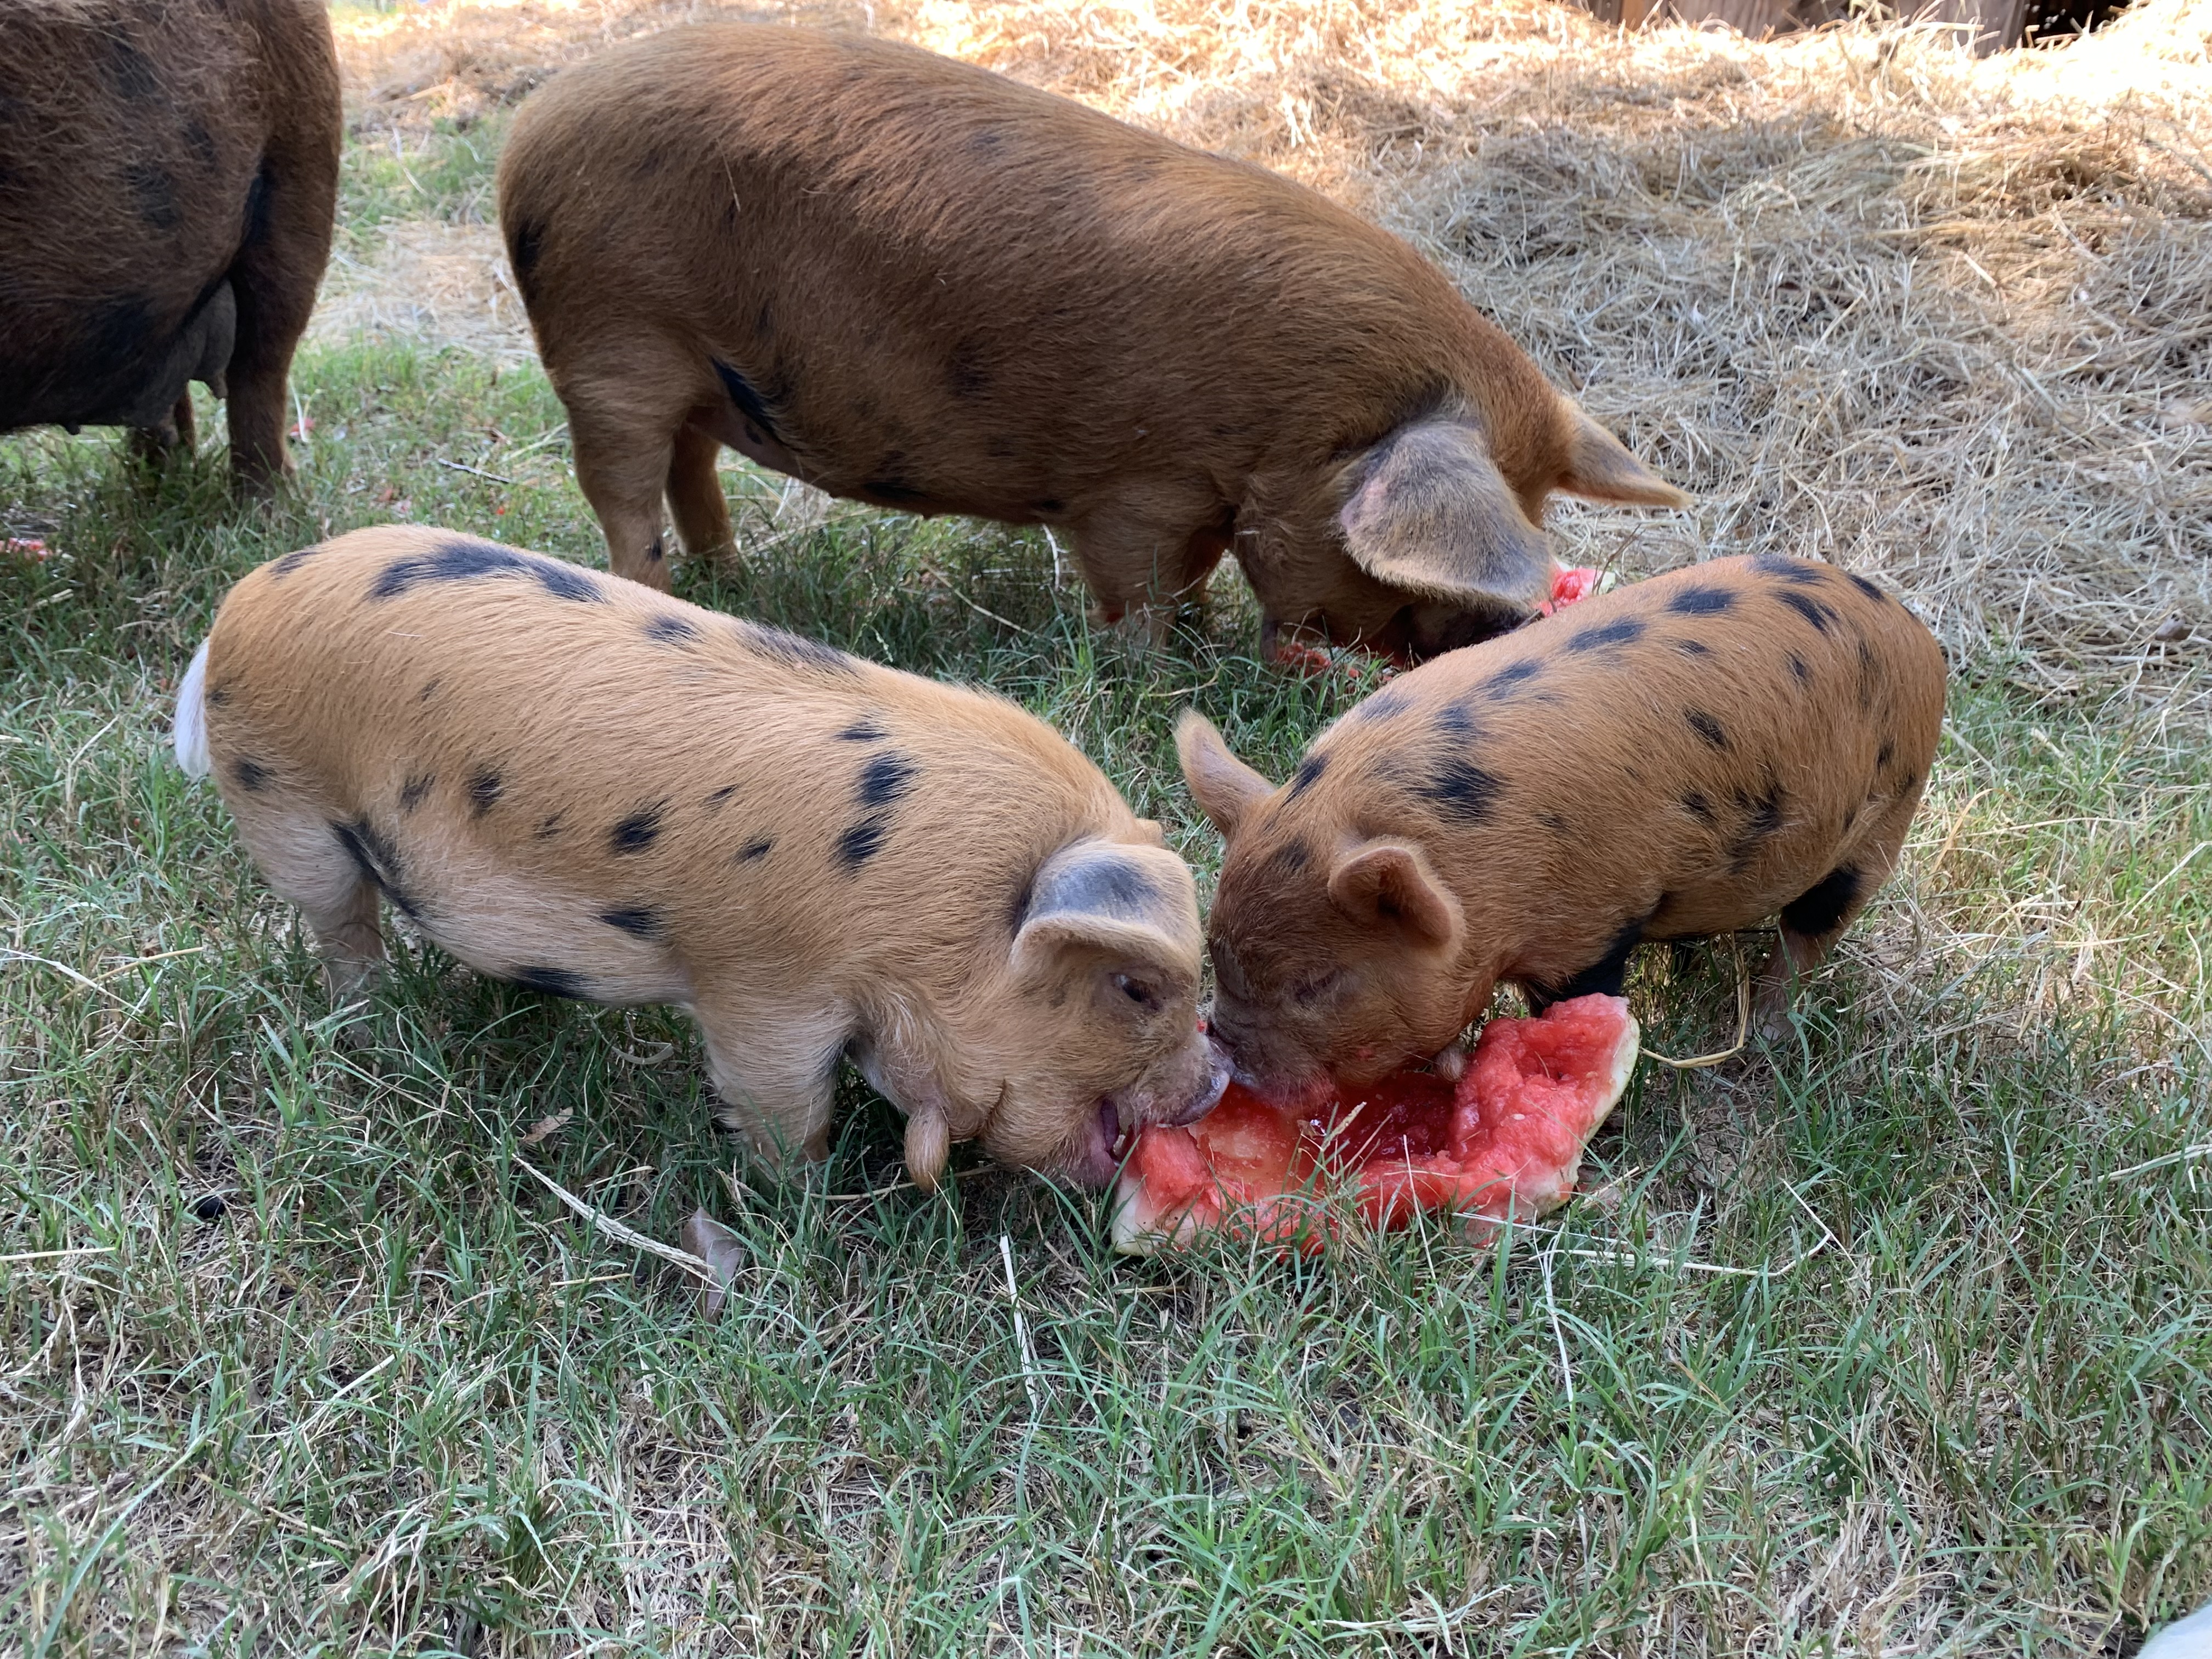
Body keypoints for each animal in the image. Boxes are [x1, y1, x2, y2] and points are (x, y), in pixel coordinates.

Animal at [177, 526, 1229, 1186]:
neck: (930, 904)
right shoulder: (765, 983)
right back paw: (365, 1022)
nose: (1218, 1080)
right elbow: (780, 1102)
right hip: (286, 804)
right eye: (1135, 987)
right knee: (338, 923)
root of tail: (244, 597)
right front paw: (802, 1199)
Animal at [493, 22, 1681, 654]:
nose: (1487, 644)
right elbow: (1140, 586)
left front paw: (1202, 641)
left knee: (692, 465)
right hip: (610, 342)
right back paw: (660, 601)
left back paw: (733, 583)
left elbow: (1194, 575)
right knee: (623, 486)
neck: (1306, 412)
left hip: (698, 369)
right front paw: (1161, 667)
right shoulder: (1132, 488)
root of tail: (532, 123)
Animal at [1186, 560, 1946, 1106]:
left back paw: (1767, 1034)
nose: (1233, 1066)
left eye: (1318, 984)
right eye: (1214, 951)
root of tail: (1917, 634)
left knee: (1814, 929)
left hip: (1883, 821)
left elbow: (1581, 1004)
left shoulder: (1591, 921)